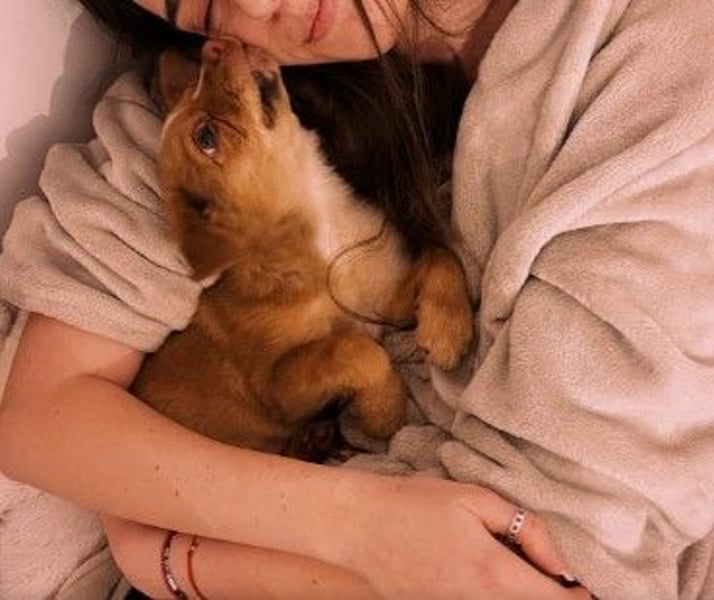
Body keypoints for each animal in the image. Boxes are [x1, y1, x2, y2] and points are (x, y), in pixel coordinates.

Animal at [132, 40, 473, 459]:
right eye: (206, 138)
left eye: (193, 86)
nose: (215, 44)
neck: (322, 219)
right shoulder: (278, 389)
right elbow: (354, 349)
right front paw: (385, 411)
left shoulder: (382, 303)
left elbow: (440, 256)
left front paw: (448, 329)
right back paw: (314, 440)